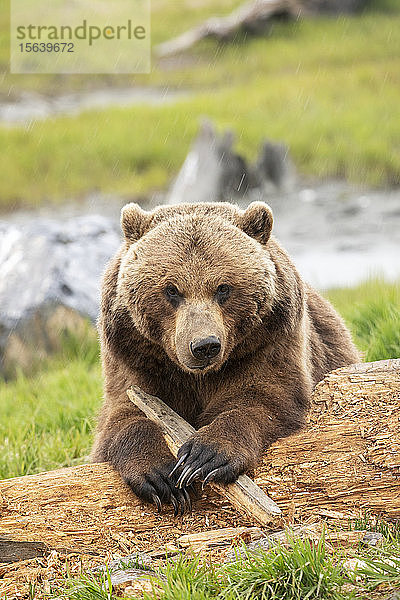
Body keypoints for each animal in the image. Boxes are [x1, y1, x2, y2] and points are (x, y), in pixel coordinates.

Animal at [91, 200, 360, 510]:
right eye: (171, 289)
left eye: (223, 288)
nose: (204, 345)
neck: (197, 377)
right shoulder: (135, 357)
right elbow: (124, 414)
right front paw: (158, 476)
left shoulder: (268, 343)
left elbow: (263, 397)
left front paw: (204, 456)